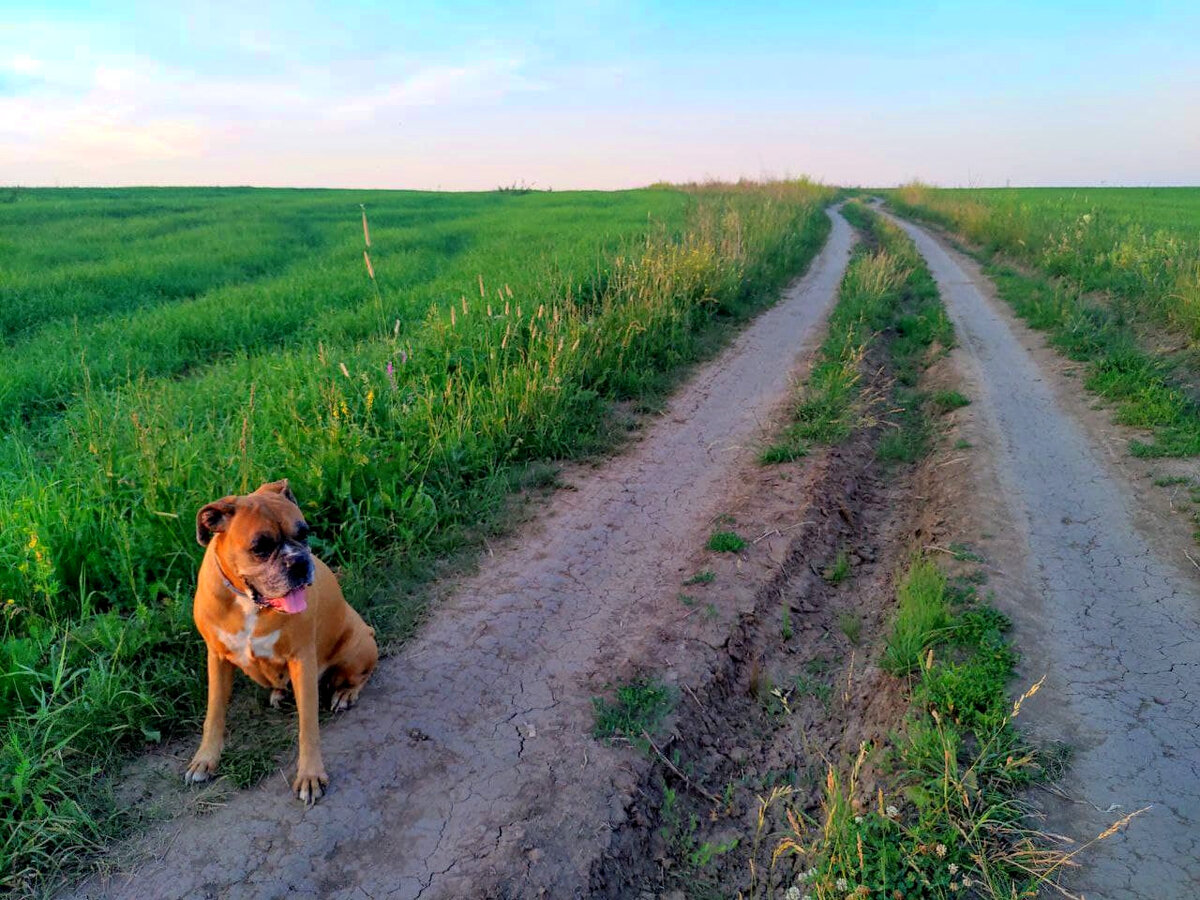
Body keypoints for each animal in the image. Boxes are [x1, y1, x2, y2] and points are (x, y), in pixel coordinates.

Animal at [183, 482, 374, 806]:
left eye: (303, 533)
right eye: (260, 547)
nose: (298, 562)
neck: (247, 602)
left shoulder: (302, 659)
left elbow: (308, 724)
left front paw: (310, 775)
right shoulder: (217, 658)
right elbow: (214, 713)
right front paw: (205, 759)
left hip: (358, 645)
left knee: (361, 674)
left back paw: (345, 693)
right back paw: (279, 693)